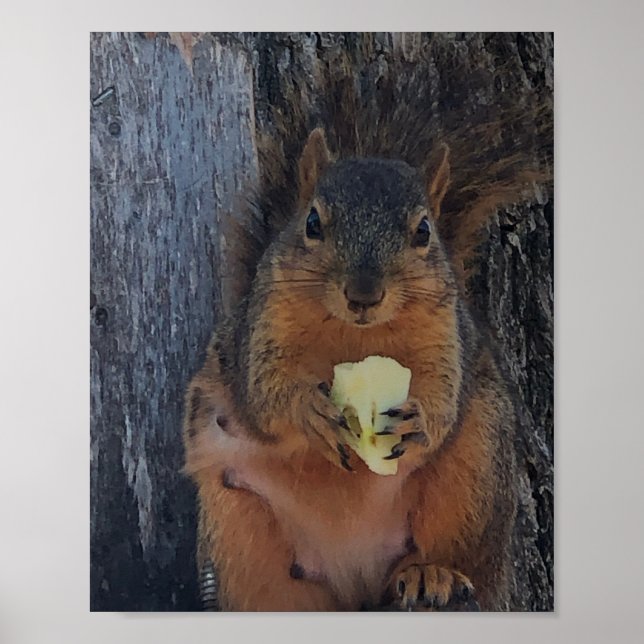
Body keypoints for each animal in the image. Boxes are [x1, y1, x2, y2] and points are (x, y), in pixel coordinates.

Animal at [182, 124, 527, 611]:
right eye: (312, 223)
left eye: (423, 231)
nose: (363, 294)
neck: (356, 336)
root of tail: (355, 579)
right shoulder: (262, 329)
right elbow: (265, 393)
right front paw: (308, 411)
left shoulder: (446, 338)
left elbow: (443, 396)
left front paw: (420, 419)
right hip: (237, 526)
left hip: (476, 474)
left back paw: (431, 574)